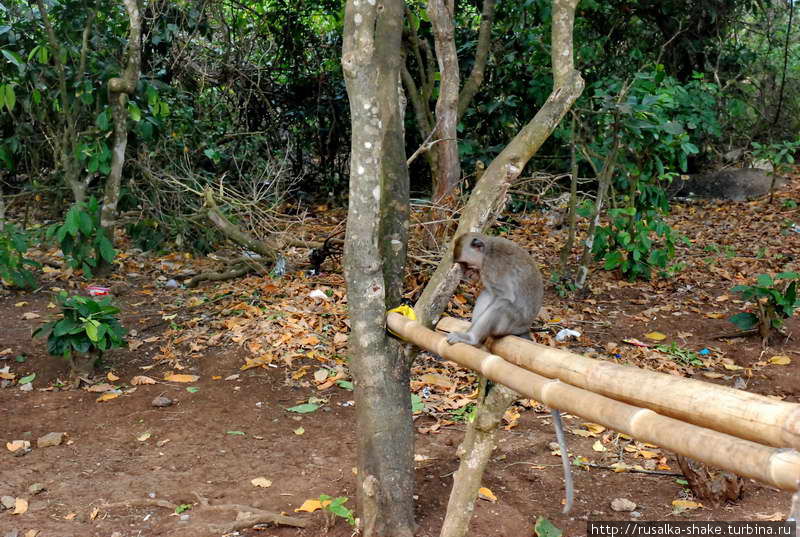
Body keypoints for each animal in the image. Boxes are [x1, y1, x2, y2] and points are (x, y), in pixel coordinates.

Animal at [446, 232, 572, 512]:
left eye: (467, 265)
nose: (466, 276)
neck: (488, 251)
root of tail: (522, 327)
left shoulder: (492, 269)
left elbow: (501, 296)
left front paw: (472, 335)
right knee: (487, 294)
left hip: (509, 322)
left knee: (500, 302)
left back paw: (473, 338)